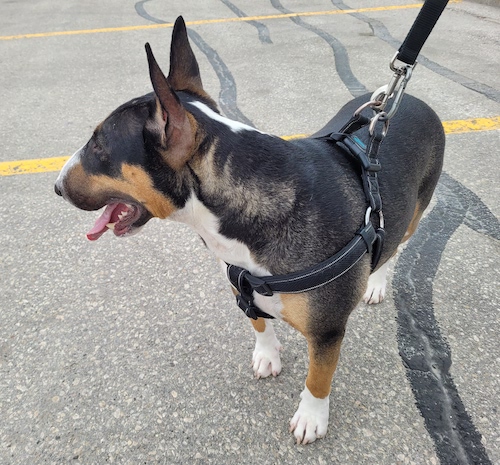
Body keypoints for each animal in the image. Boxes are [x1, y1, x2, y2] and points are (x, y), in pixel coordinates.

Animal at [54, 15, 446, 442]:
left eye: (99, 147)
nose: (55, 186)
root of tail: (411, 100)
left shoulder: (327, 331)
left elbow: (318, 377)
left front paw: (311, 416)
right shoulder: (240, 281)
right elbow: (259, 323)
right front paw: (267, 356)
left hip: (413, 214)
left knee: (395, 246)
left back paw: (375, 283)